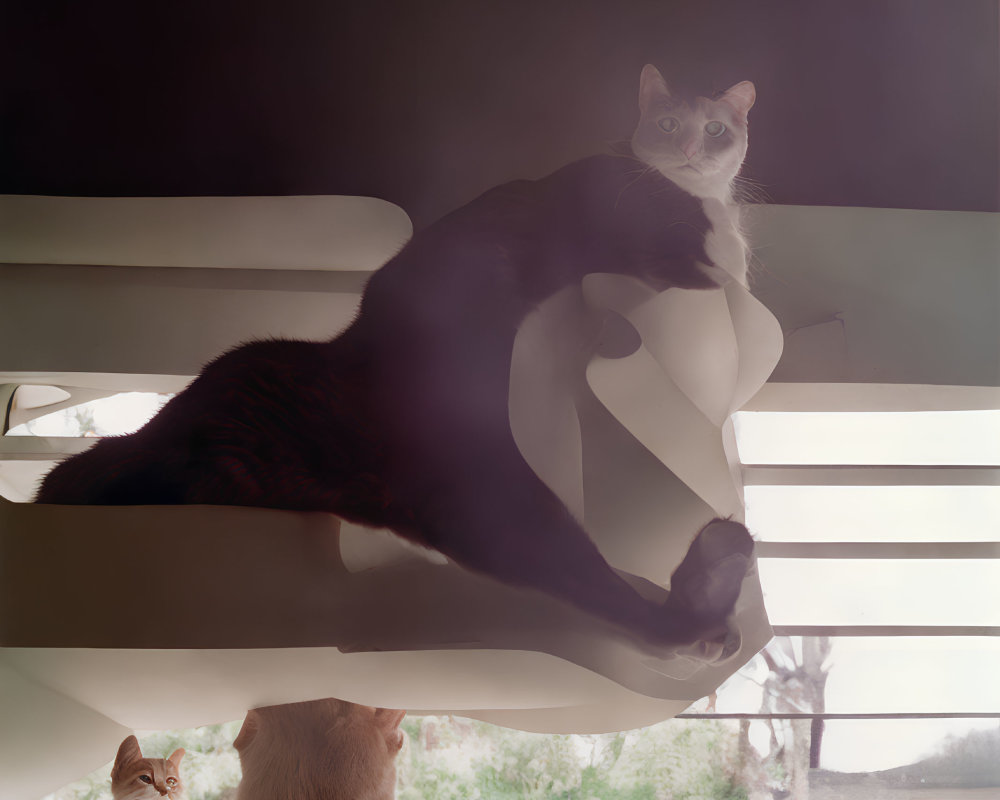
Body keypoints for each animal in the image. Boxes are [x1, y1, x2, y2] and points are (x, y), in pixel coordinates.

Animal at [37, 67, 756, 648]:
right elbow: (707, 265)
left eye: (716, 130)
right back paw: (714, 580)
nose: (692, 152)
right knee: (633, 609)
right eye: (671, 125)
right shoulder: (642, 236)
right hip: (485, 486)